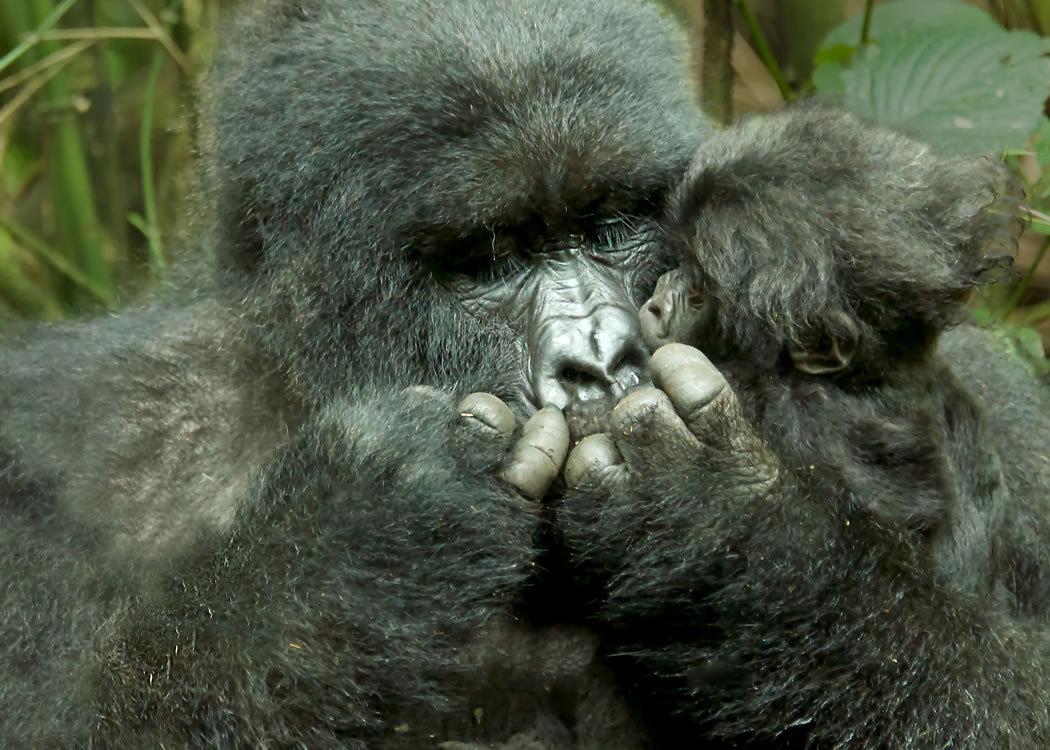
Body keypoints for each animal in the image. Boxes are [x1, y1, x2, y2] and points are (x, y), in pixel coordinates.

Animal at [0, 1, 1045, 747]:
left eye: (608, 222)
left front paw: (730, 533)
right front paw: (343, 551)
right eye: (492, 256)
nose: (604, 358)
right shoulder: (63, 444)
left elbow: (1009, 702)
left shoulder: (1005, 412)